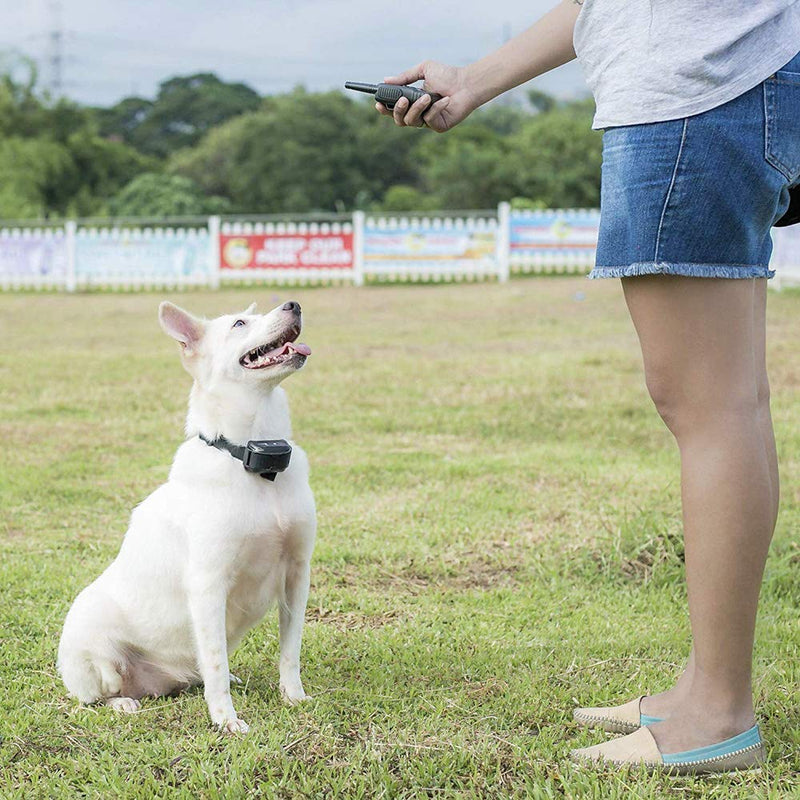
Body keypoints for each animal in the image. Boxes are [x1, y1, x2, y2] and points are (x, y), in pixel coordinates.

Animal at [57, 298, 316, 732]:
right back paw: (123, 703)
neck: (254, 460)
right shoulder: (209, 584)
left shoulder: (297, 573)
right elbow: (214, 664)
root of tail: (163, 682)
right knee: (99, 695)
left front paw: (293, 698)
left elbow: (290, 653)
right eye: (239, 323)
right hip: (93, 646)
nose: (294, 304)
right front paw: (226, 721)